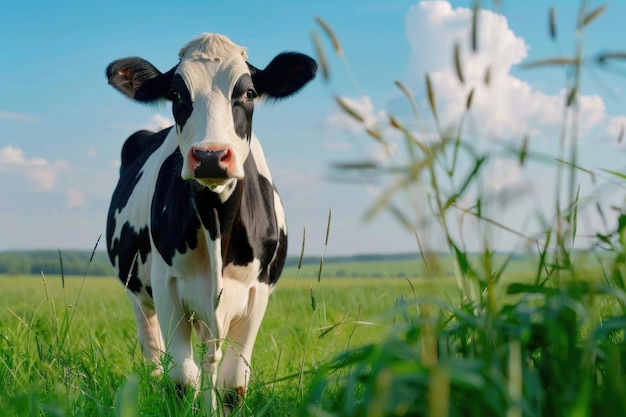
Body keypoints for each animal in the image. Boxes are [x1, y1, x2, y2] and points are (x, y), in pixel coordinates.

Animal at [105, 33, 314, 412]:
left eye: (249, 93)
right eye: (176, 95)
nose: (210, 156)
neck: (216, 223)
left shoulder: (256, 294)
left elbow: (232, 384)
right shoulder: (168, 287)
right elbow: (181, 380)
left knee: (209, 360)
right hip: (138, 293)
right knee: (154, 351)